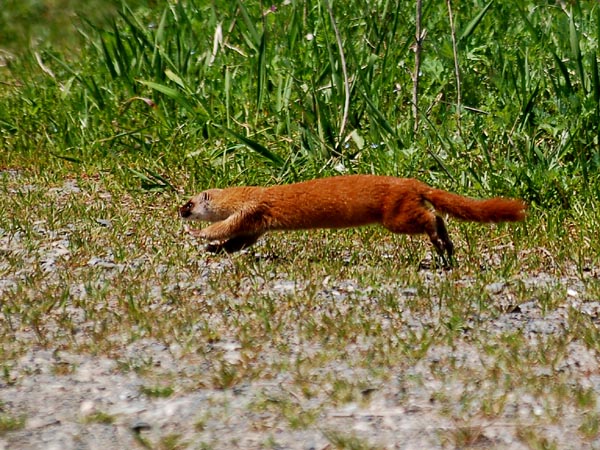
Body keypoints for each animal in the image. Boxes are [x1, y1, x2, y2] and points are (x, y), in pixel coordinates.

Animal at [178, 174, 524, 262]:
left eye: (189, 202)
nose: (178, 210)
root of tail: (412, 183)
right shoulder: (257, 225)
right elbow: (238, 240)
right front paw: (214, 249)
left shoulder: (252, 210)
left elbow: (225, 226)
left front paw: (198, 236)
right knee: (437, 215)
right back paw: (447, 245)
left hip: (395, 216)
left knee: (427, 217)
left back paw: (440, 243)